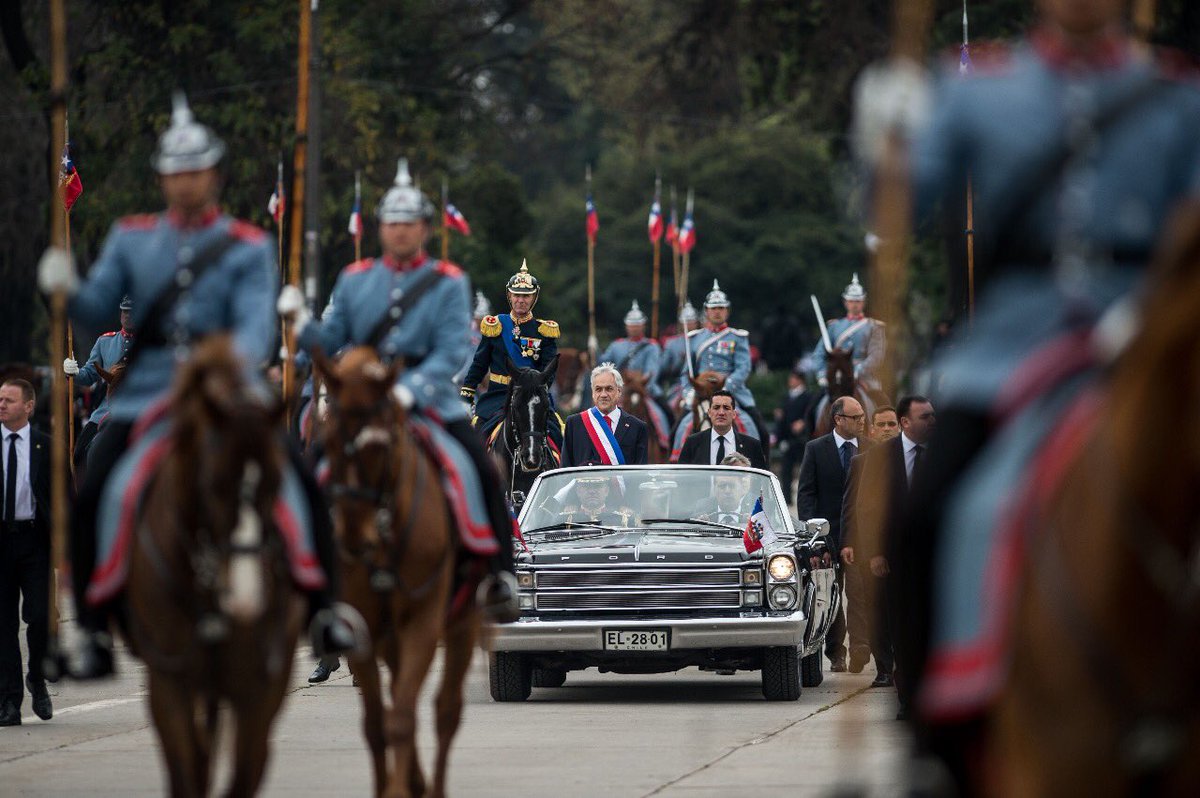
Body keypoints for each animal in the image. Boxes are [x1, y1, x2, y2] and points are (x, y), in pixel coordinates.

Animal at [125, 336, 304, 796]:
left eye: (277, 482)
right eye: (214, 484)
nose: (246, 598)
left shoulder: (259, 685)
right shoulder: (169, 680)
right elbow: (189, 769)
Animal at [316, 348, 480, 796]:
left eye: (382, 445)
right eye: (328, 440)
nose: (354, 535)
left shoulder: (424, 620)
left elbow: (405, 716)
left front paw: (400, 787)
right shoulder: (361, 626)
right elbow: (376, 723)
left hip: (464, 623)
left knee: (446, 709)